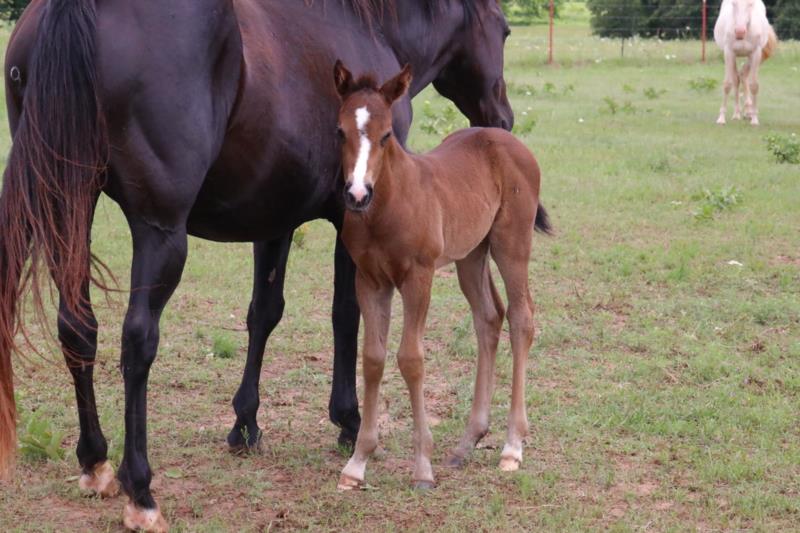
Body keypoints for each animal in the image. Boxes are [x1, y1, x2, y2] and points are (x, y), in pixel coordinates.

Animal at [0, 0, 520, 530]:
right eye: (504, 30)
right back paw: (140, 489)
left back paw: (95, 462)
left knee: (77, 326)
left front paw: (245, 424)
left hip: (67, 204)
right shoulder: (351, 215)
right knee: (137, 340)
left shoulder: (275, 219)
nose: (503, 119)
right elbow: (346, 316)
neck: (370, 28)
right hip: (158, 232)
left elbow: (264, 313)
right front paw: (349, 421)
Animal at [331, 62, 551, 490]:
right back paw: (468, 441)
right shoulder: (370, 280)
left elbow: (411, 358)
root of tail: (509, 141)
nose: (357, 194)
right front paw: (356, 464)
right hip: (471, 255)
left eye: (386, 135)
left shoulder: (419, 277)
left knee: (521, 317)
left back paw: (512, 446)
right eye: (340, 131)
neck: (387, 207)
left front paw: (422, 468)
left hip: (511, 244)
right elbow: (373, 358)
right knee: (489, 317)